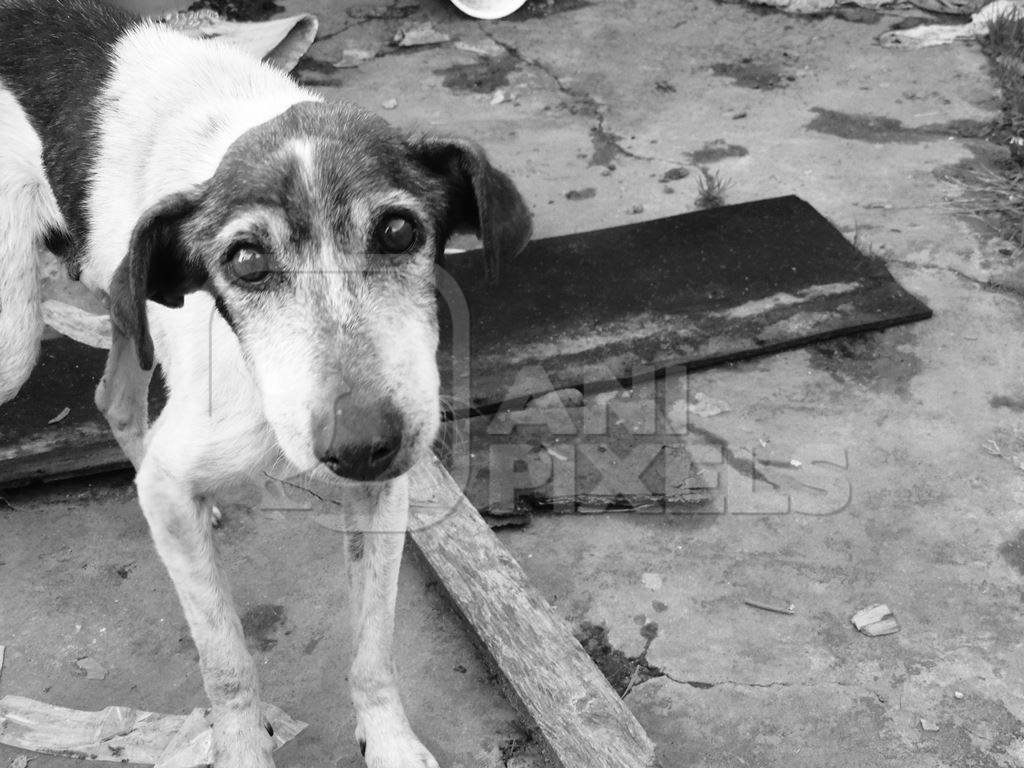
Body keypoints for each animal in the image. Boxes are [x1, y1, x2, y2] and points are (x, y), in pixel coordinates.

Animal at [0, 3, 532, 765]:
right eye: (247, 262)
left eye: (399, 231)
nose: (361, 445)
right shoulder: (177, 486)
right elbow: (227, 662)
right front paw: (242, 746)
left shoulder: (383, 494)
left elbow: (374, 649)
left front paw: (390, 741)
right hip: (16, 335)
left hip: (124, 299)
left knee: (114, 399)